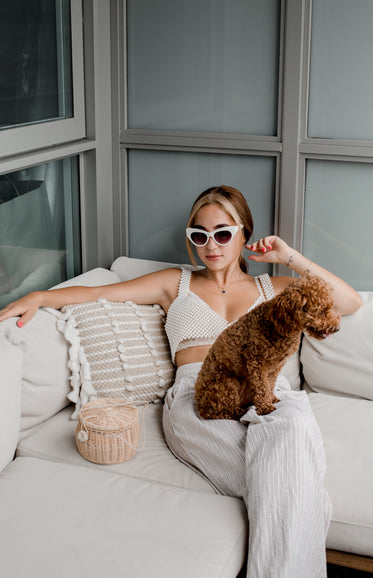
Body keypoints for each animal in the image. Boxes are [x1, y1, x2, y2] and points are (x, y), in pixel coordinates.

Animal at [195, 272, 340, 418]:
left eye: (331, 308)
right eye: (322, 311)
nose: (337, 328)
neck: (277, 325)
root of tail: (198, 403)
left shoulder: (274, 367)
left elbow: (269, 385)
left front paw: (271, 399)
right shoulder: (256, 363)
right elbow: (262, 387)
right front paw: (266, 408)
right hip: (225, 383)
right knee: (216, 411)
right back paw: (237, 412)